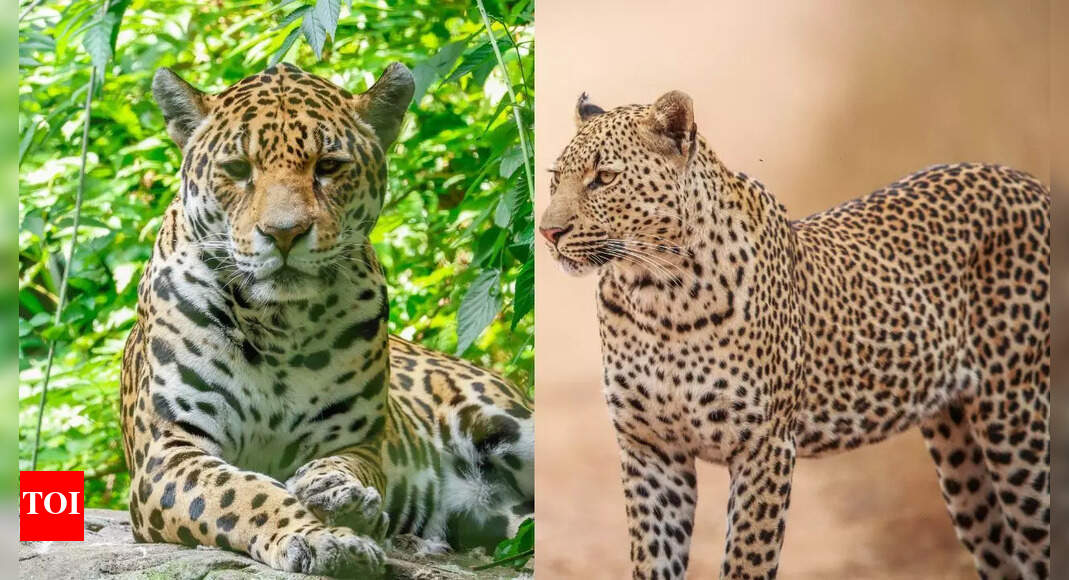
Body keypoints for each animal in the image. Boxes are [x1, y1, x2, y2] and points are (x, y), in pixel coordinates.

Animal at [120, 62, 533, 577]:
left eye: (329, 167)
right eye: (238, 170)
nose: (284, 233)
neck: (275, 322)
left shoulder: (356, 444)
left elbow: (341, 470)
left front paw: (341, 497)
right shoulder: (169, 450)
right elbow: (244, 492)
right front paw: (319, 537)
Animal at [539, 91, 1050, 580]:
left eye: (604, 178)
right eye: (555, 179)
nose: (548, 232)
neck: (657, 296)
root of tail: (1029, 182)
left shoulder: (764, 446)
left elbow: (746, 562)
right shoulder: (651, 450)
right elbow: (652, 561)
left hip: (1016, 417)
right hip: (958, 447)